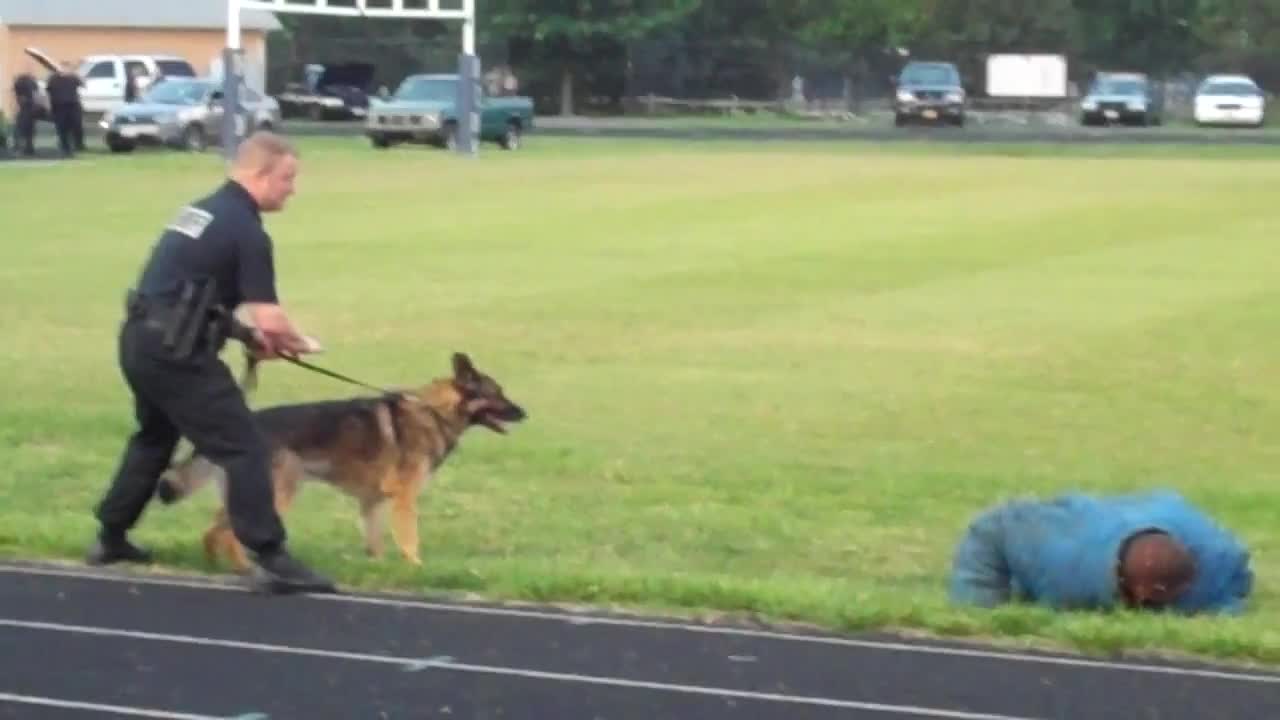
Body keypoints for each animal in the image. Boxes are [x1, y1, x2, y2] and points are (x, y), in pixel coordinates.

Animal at [154, 351, 524, 568]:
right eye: (497, 394)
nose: (525, 413)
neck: (434, 411)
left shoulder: (372, 502)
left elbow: (374, 542)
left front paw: (379, 571)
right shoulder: (404, 499)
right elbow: (410, 540)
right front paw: (416, 569)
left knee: (213, 533)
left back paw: (216, 567)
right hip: (277, 496)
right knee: (231, 536)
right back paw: (245, 568)